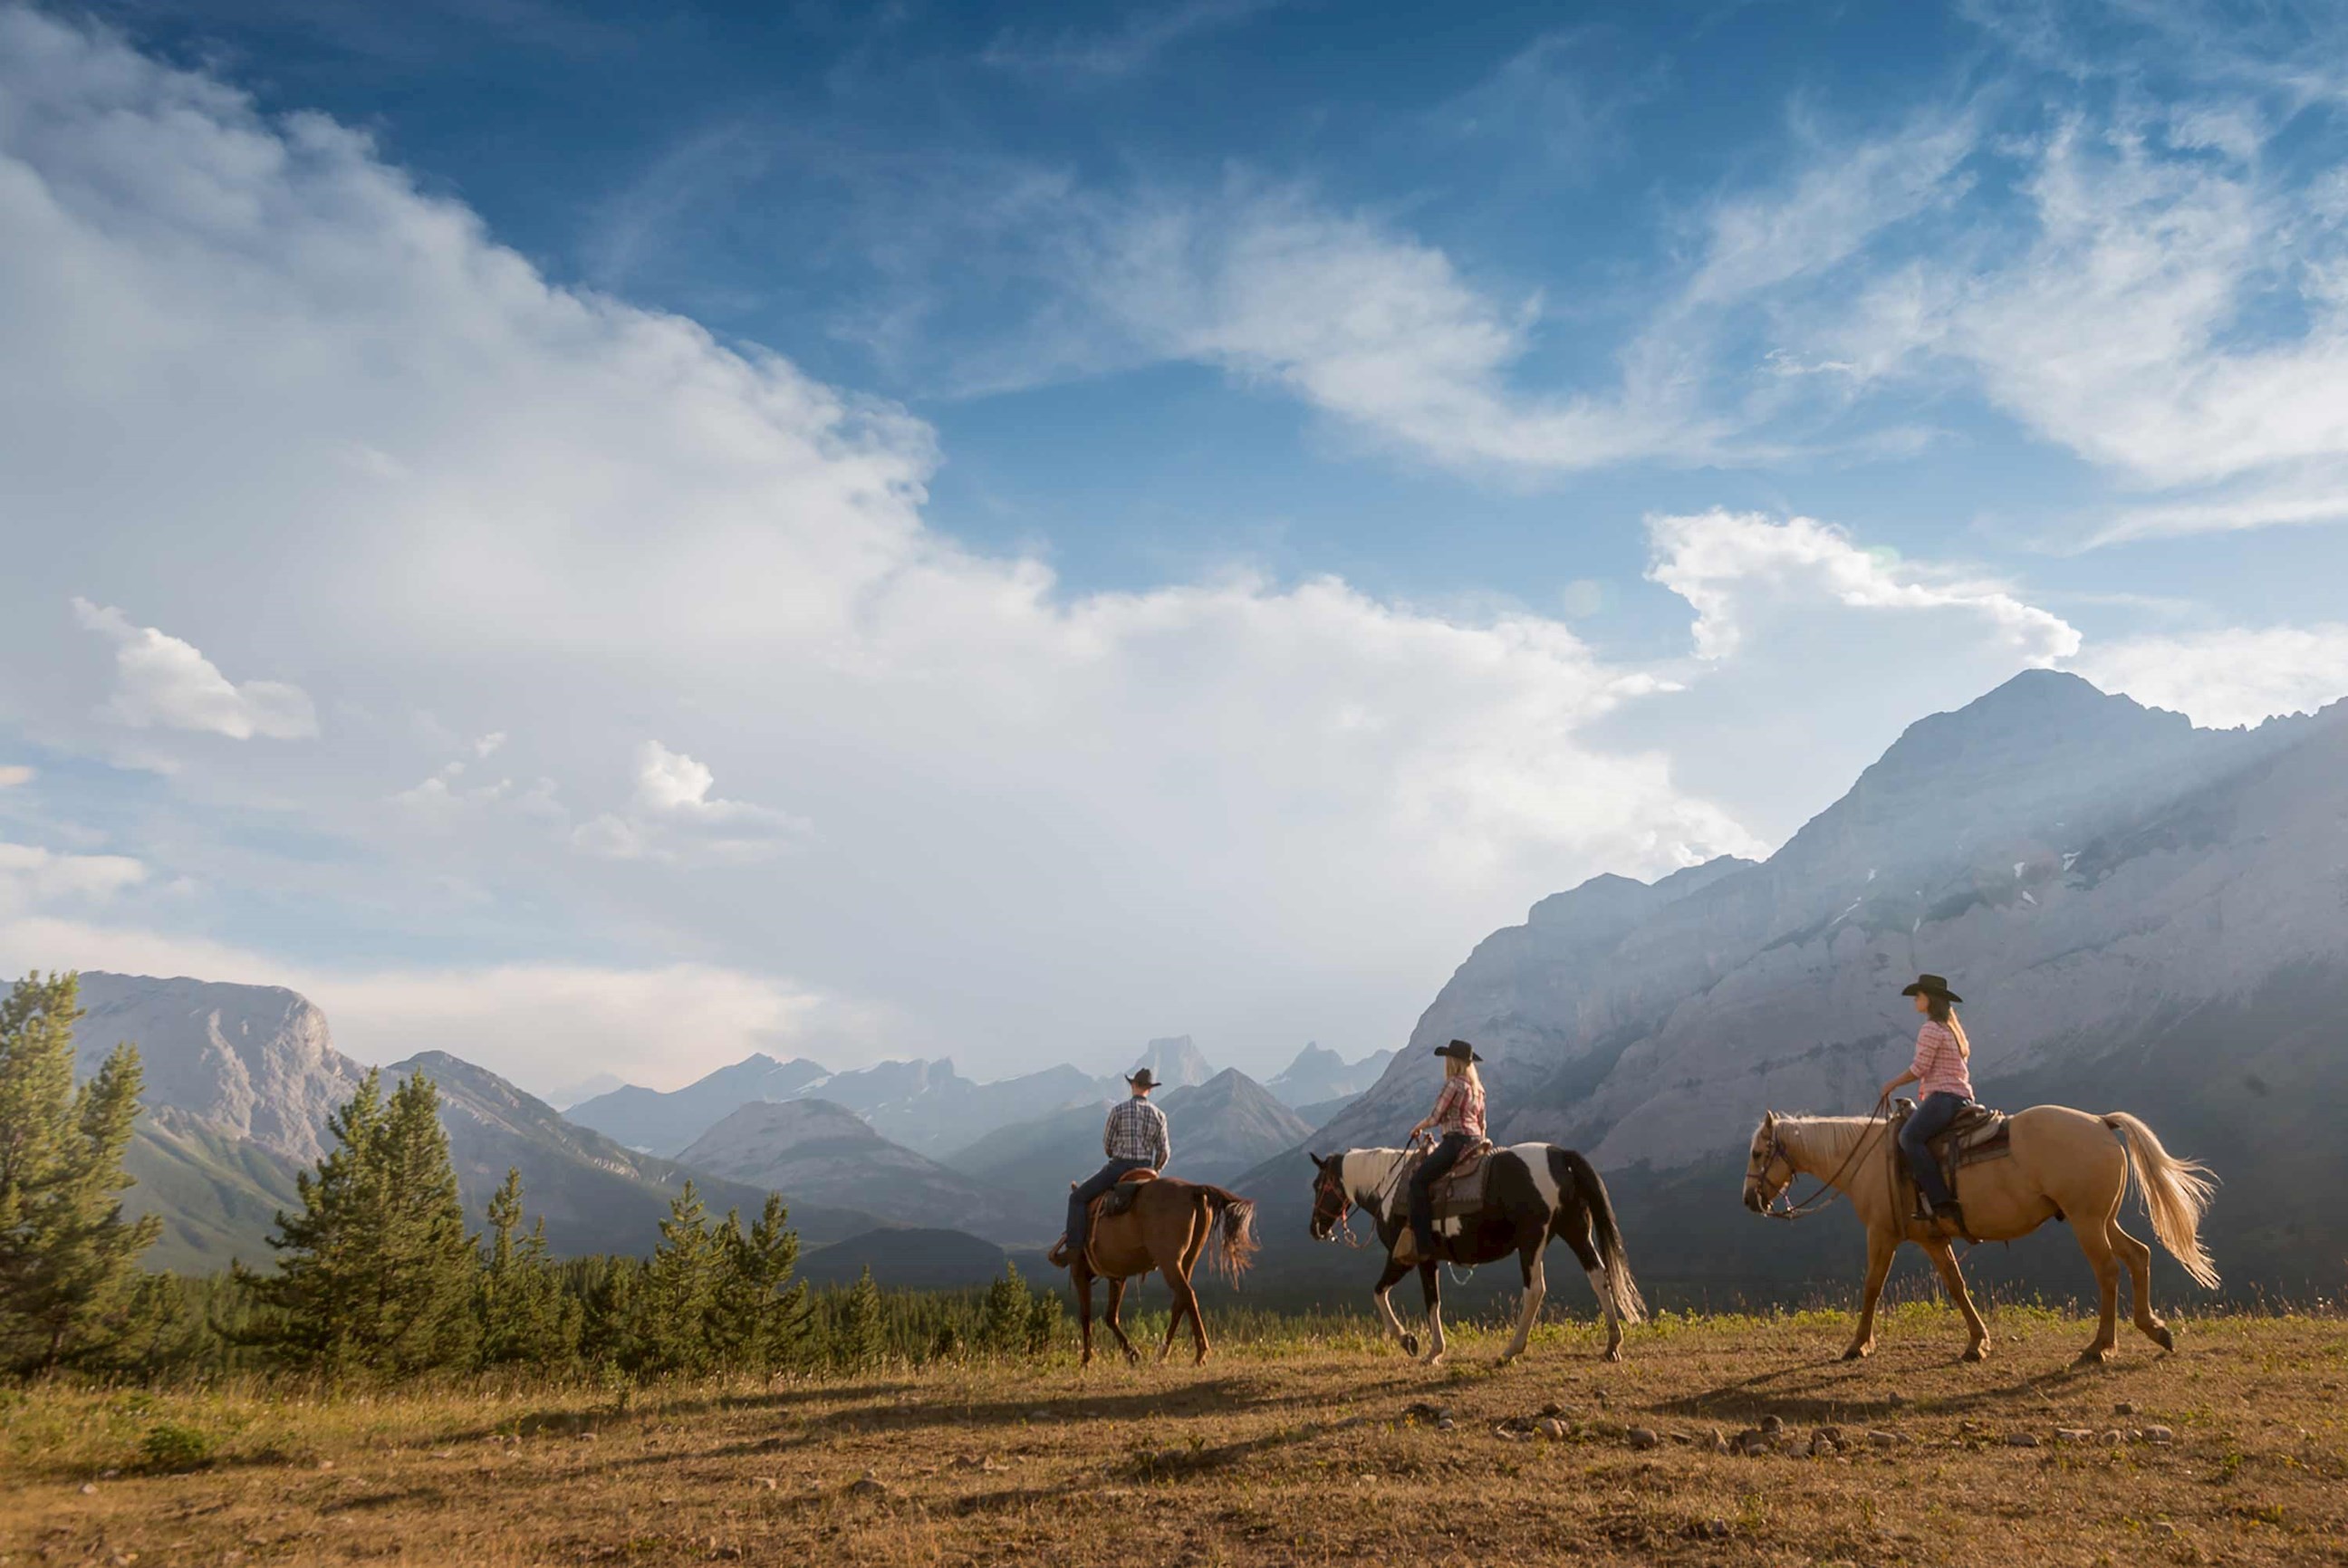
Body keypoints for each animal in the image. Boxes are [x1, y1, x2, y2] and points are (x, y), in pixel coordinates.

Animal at [1075, 1169, 1258, 1361]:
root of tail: (1193, 1189)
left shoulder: (1079, 1270)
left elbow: (1086, 1315)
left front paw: (1087, 1359)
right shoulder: (1117, 1274)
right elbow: (1110, 1316)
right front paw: (1132, 1354)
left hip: (1169, 1260)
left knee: (1186, 1294)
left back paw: (1199, 1353)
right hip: (1188, 1258)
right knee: (1180, 1300)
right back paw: (1164, 1353)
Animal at [1305, 1145, 1652, 1361]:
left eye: (1317, 1184)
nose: (1315, 1229)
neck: (1388, 1187)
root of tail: (1558, 1155)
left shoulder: (1407, 1258)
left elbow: (1384, 1293)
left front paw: (1413, 1343)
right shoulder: (1429, 1261)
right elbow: (1432, 1301)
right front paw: (1432, 1348)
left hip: (1531, 1241)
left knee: (1535, 1289)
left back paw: (1512, 1349)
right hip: (1575, 1232)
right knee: (1598, 1276)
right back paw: (1612, 1343)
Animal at [1747, 1108, 2216, 1361]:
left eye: (1756, 1152)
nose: (1750, 1200)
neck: (1868, 1158)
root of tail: (2101, 1123)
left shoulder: (1881, 1233)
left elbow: (1872, 1287)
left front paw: (1858, 1345)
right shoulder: (1933, 1240)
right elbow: (1956, 1287)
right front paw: (1977, 1342)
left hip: (2087, 1221)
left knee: (2108, 1271)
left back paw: (2100, 1346)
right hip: (2103, 1219)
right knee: (2138, 1255)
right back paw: (2154, 1329)